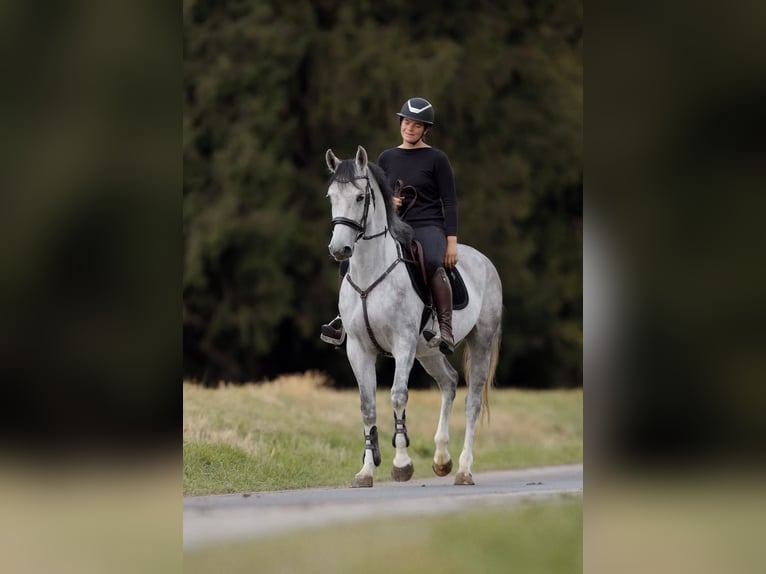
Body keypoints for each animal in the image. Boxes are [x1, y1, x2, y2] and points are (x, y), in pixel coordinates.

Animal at [325, 145, 503, 487]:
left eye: (360, 197)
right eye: (331, 197)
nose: (339, 249)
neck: (371, 272)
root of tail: (484, 261)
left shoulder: (403, 344)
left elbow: (397, 397)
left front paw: (401, 464)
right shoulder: (357, 348)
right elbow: (367, 407)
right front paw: (366, 471)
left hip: (481, 341)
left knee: (472, 401)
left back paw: (463, 469)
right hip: (428, 352)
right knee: (449, 382)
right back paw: (442, 459)